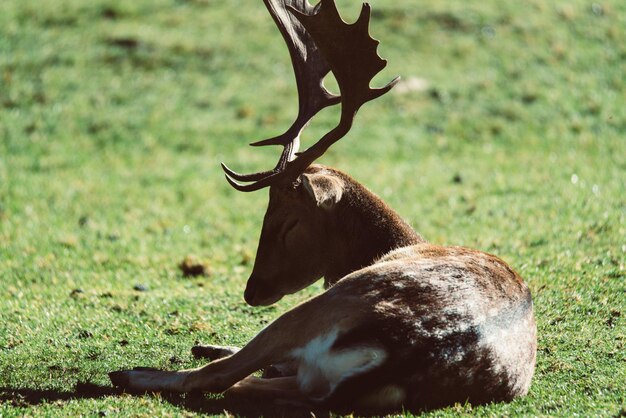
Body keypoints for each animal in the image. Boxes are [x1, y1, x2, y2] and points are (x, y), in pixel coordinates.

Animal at [108, 0, 536, 412]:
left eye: (287, 222)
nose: (252, 290)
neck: (402, 242)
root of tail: (406, 355)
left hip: (320, 306)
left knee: (218, 376)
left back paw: (128, 373)